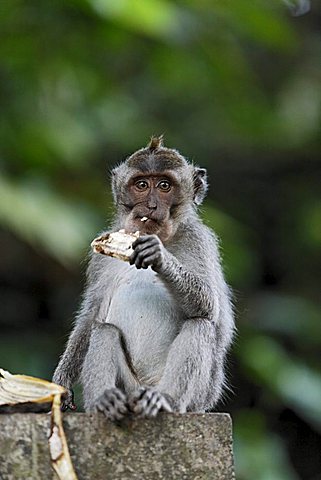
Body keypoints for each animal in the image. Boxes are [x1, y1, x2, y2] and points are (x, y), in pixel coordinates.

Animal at [52, 135, 232, 420]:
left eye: (164, 185)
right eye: (141, 185)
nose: (150, 206)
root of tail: (142, 390)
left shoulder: (199, 241)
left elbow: (209, 305)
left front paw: (160, 257)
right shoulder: (100, 258)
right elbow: (91, 316)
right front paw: (62, 383)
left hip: (198, 398)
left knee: (200, 325)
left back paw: (164, 399)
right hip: (128, 386)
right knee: (104, 330)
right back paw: (104, 401)